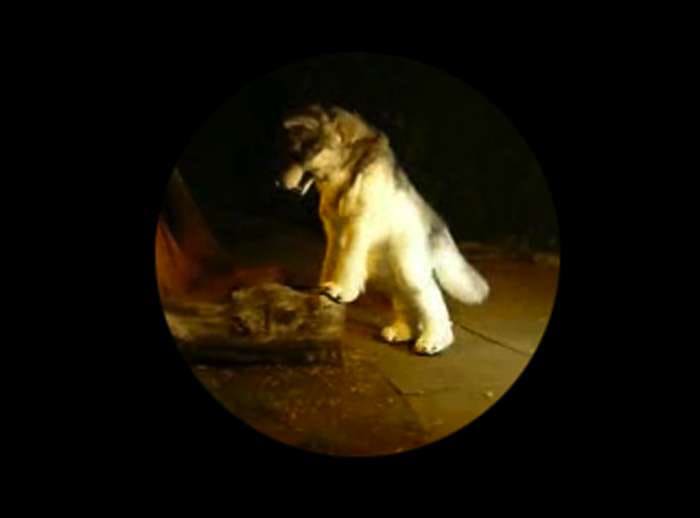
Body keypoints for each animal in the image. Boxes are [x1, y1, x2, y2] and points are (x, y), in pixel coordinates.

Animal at [277, 104, 489, 355]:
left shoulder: (358, 227)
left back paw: (434, 340)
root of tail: (437, 223)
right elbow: (331, 261)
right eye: (290, 152)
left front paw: (340, 290)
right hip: (392, 272)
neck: (348, 168)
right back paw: (402, 331)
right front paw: (323, 286)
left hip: (408, 267)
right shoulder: (334, 232)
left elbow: (347, 261)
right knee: (407, 303)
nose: (278, 182)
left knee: (432, 302)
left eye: (299, 153)